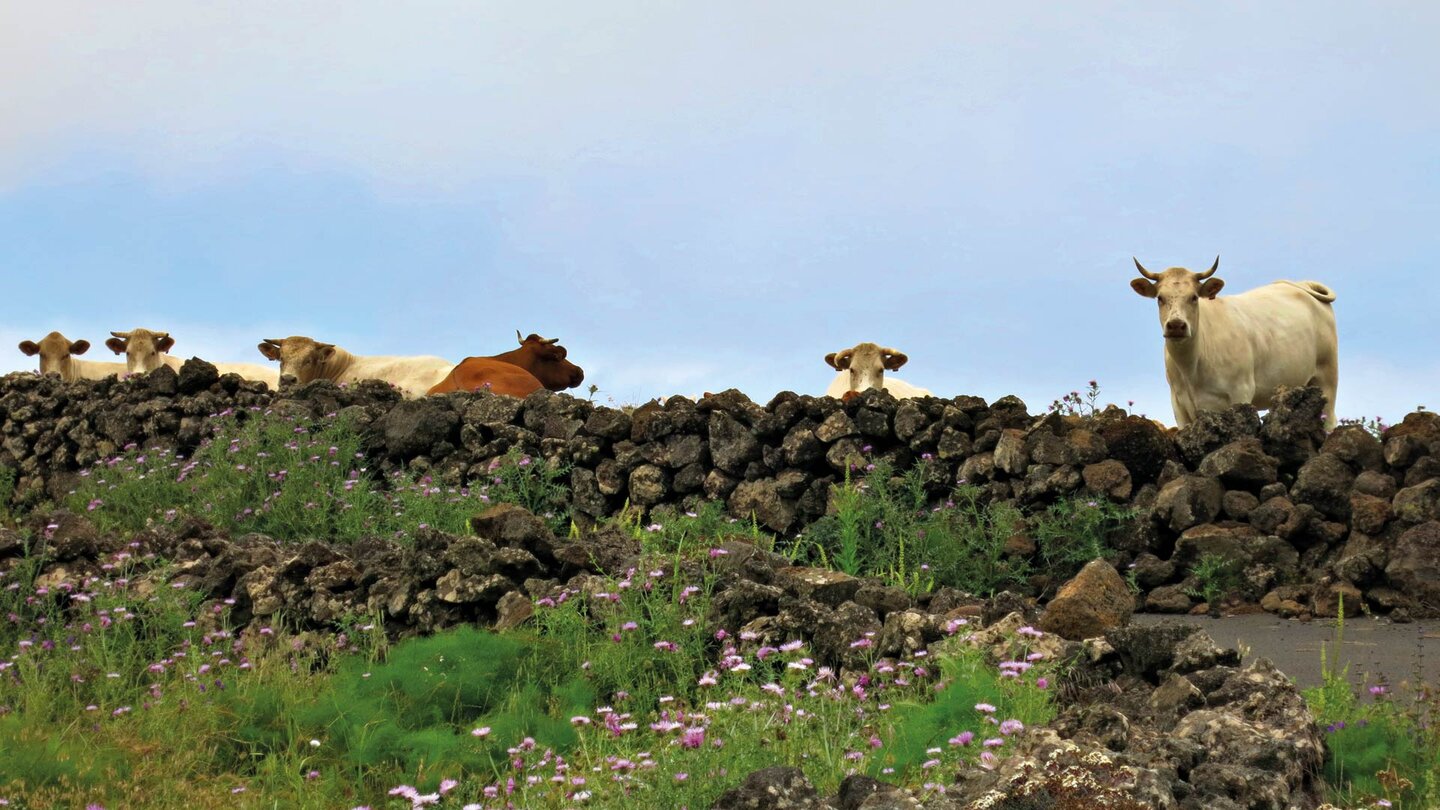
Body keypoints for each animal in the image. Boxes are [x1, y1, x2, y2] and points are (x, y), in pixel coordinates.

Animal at [1123, 256, 1336, 429]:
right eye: (1160, 298)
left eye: (1194, 297)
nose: (1176, 325)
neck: (1192, 368)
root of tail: (1303, 284)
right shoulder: (1178, 404)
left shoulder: (1241, 391)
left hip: (1327, 376)